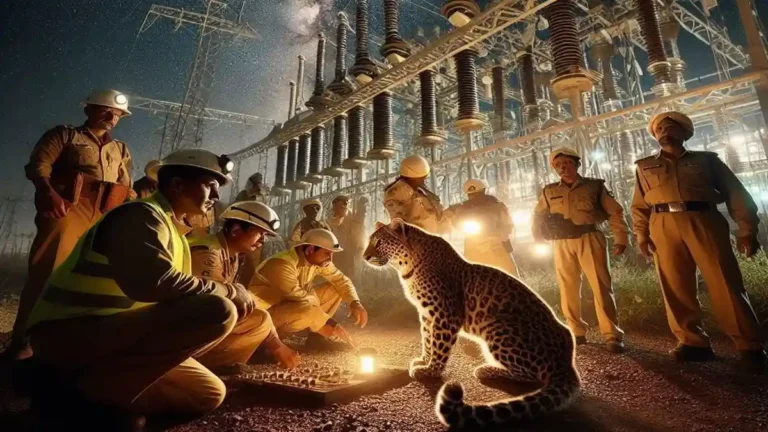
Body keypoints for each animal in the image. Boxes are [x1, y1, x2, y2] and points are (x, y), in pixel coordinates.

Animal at [363, 219, 581, 428]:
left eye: (379, 242)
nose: (365, 257)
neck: (407, 264)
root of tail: (565, 362)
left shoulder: (445, 314)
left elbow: (439, 345)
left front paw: (431, 371)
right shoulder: (425, 313)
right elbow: (427, 338)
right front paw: (423, 361)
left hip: (496, 326)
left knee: (531, 375)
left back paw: (486, 369)